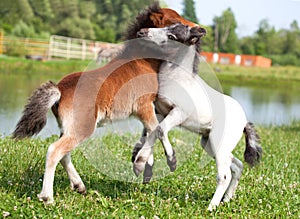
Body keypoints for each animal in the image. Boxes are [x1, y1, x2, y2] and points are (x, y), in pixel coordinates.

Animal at [13, 2, 202, 204]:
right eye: (174, 23)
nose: (199, 30)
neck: (143, 61)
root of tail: (59, 89)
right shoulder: (143, 106)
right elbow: (157, 130)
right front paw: (168, 161)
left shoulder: (145, 110)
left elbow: (149, 132)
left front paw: (144, 166)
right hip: (83, 127)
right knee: (54, 151)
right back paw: (48, 197)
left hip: (70, 127)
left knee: (64, 154)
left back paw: (79, 186)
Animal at [134, 22, 262, 210]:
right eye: (167, 25)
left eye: (172, 36)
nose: (142, 32)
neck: (176, 79)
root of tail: (244, 122)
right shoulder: (160, 112)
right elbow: (153, 131)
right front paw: (140, 163)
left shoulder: (179, 113)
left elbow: (161, 131)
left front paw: (172, 160)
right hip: (210, 144)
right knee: (237, 166)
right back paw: (227, 199)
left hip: (218, 143)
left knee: (224, 175)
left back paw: (211, 207)